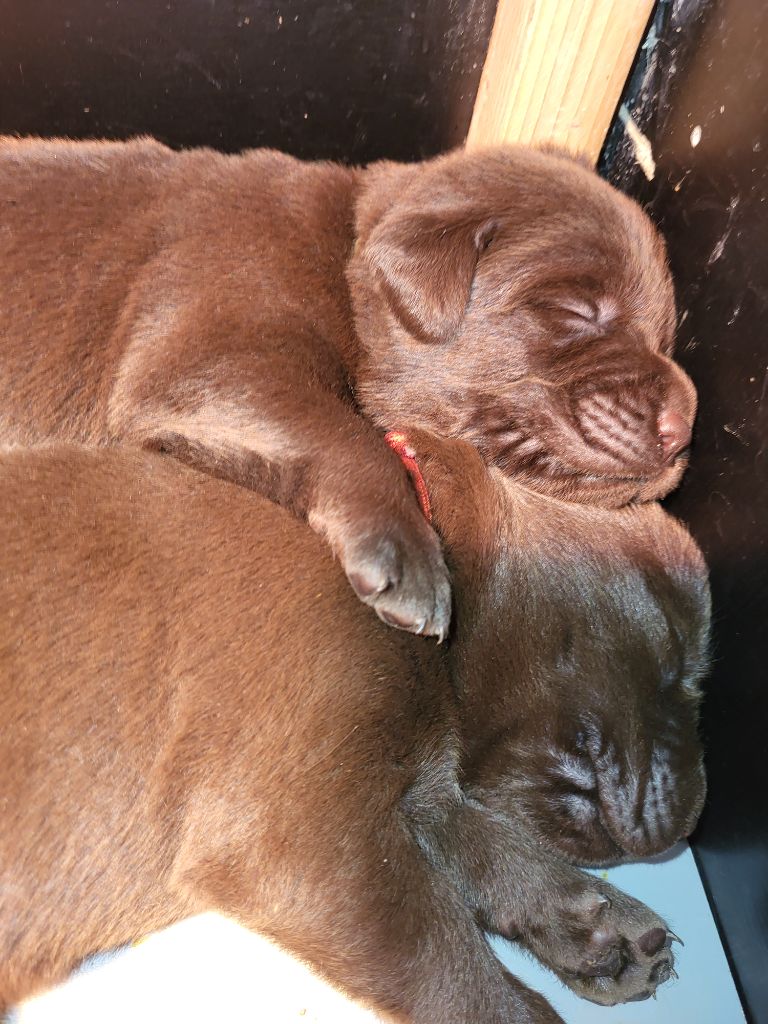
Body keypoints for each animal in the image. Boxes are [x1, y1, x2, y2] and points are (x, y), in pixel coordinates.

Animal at [0, 132, 696, 634]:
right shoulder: (210, 350)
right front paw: (409, 557)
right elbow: (348, 433)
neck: (343, 253)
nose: (683, 428)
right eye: (576, 311)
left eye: (665, 338)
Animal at [0, 436, 708, 1019]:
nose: (691, 823)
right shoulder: (297, 838)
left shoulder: (409, 793)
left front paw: (600, 930)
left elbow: (498, 853)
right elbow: (461, 973)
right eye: (679, 657)